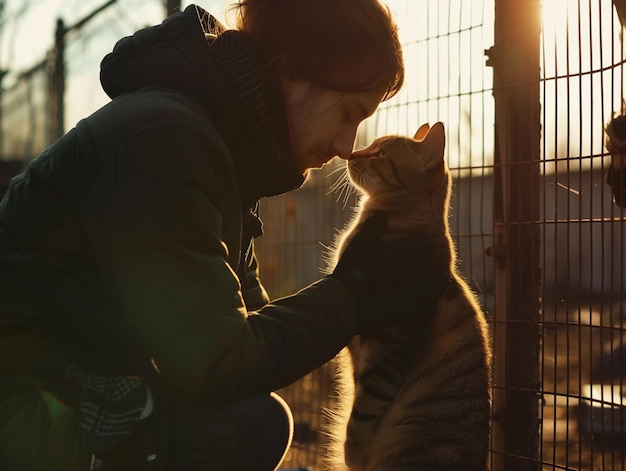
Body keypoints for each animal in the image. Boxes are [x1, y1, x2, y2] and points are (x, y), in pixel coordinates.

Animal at [322, 122, 492, 471]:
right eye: (369, 145)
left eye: (380, 153)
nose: (352, 154)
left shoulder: (388, 347)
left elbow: (363, 413)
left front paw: (352, 455)